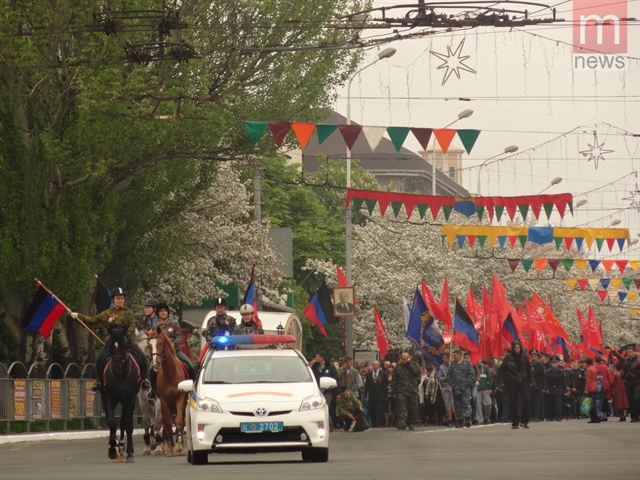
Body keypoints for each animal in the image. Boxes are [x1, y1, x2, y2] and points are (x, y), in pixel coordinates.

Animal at [102, 326, 141, 462]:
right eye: (110, 345)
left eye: (124, 345)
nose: (117, 366)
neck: (121, 375)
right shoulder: (109, 398)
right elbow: (112, 422)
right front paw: (113, 450)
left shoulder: (130, 398)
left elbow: (126, 424)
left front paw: (128, 452)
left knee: (126, 422)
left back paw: (125, 448)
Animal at [149, 326, 189, 458]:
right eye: (149, 345)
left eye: (160, 343)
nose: (156, 363)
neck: (170, 373)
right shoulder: (163, 401)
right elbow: (167, 424)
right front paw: (170, 449)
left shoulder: (180, 397)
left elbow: (179, 421)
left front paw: (179, 447)